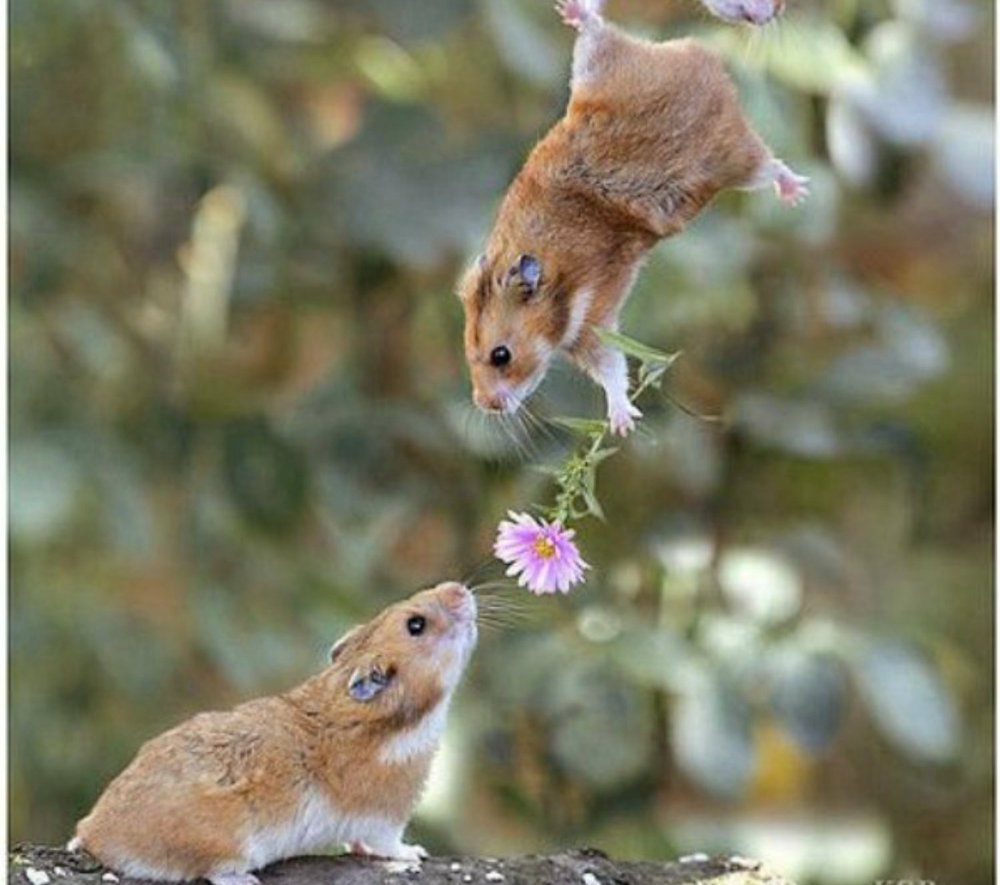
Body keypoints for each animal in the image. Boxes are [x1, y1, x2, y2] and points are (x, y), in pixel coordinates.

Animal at [68, 584, 478, 880]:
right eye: (416, 625)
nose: (460, 588)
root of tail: (95, 834)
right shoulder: (384, 815)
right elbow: (391, 844)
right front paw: (417, 853)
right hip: (229, 843)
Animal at [458, 0, 804, 436]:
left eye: (500, 355)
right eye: (468, 350)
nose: (484, 405)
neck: (555, 282)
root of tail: (707, 62)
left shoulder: (592, 323)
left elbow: (611, 370)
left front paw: (623, 425)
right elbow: (611, 369)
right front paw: (623, 425)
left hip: (733, 157)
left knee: (771, 166)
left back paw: (798, 192)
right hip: (599, 68)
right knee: (599, 29)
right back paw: (573, 11)